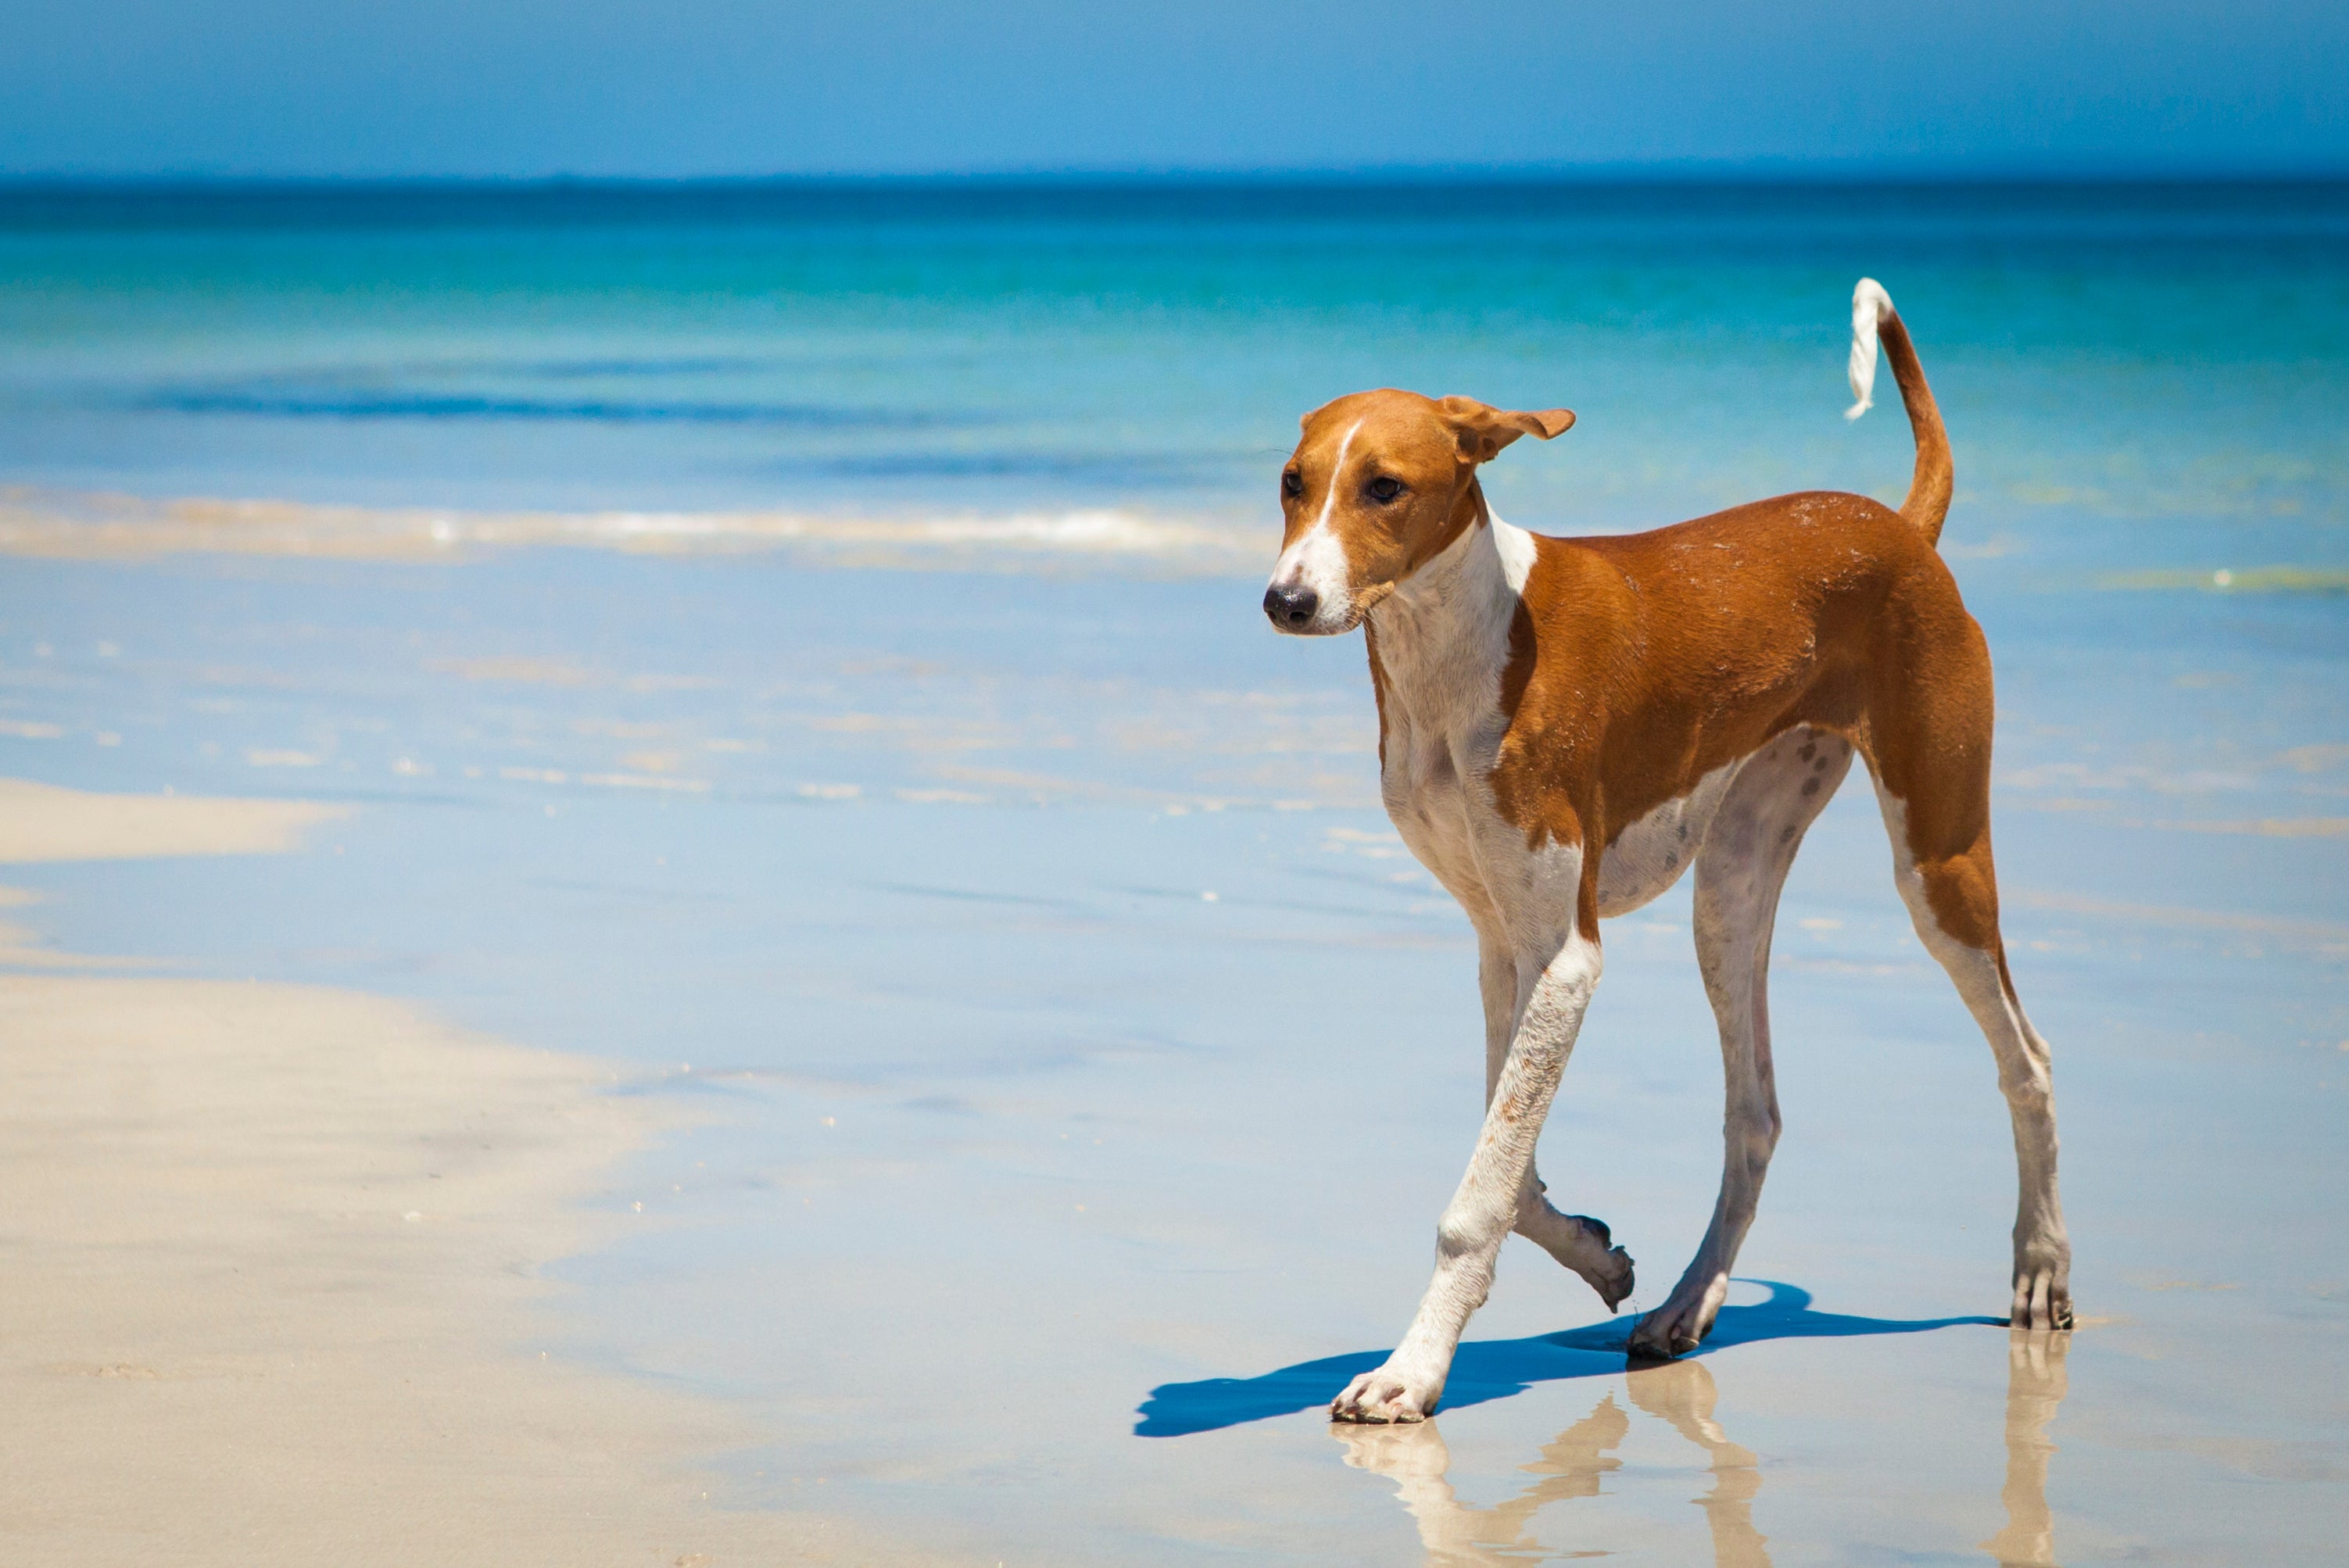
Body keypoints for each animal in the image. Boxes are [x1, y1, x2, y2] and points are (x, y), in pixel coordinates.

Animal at [1268, 277, 2076, 1417]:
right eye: (1291, 484)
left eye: (1384, 488)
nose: (1285, 600)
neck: (1464, 642)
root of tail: (1900, 526)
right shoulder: (1502, 944)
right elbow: (1510, 1166)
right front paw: (1595, 1252)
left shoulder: (1564, 957)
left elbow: (1479, 1192)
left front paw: (1410, 1370)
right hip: (1731, 886)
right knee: (1756, 1112)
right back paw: (1688, 1302)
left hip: (1940, 857)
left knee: (2027, 1061)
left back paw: (2040, 1263)